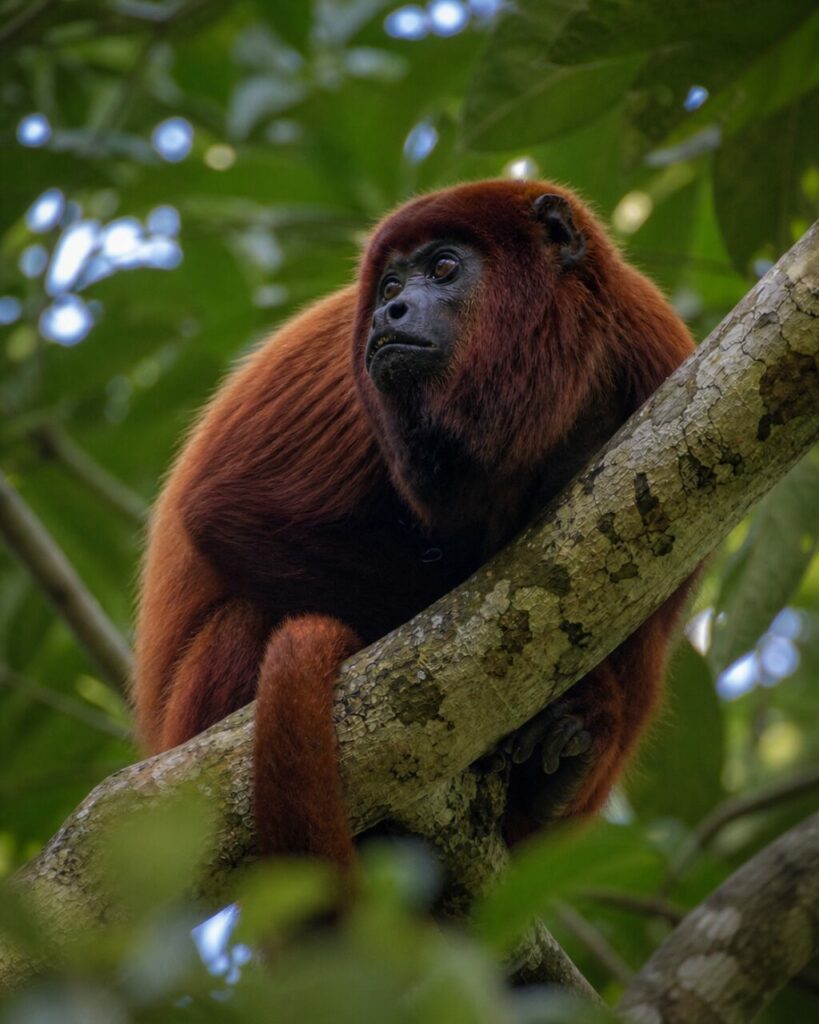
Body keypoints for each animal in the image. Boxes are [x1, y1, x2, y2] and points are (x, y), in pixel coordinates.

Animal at [133, 179, 696, 867]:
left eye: (444, 267)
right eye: (389, 286)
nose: (388, 314)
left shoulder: (658, 350)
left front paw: (585, 714)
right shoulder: (340, 365)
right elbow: (230, 507)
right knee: (250, 617)